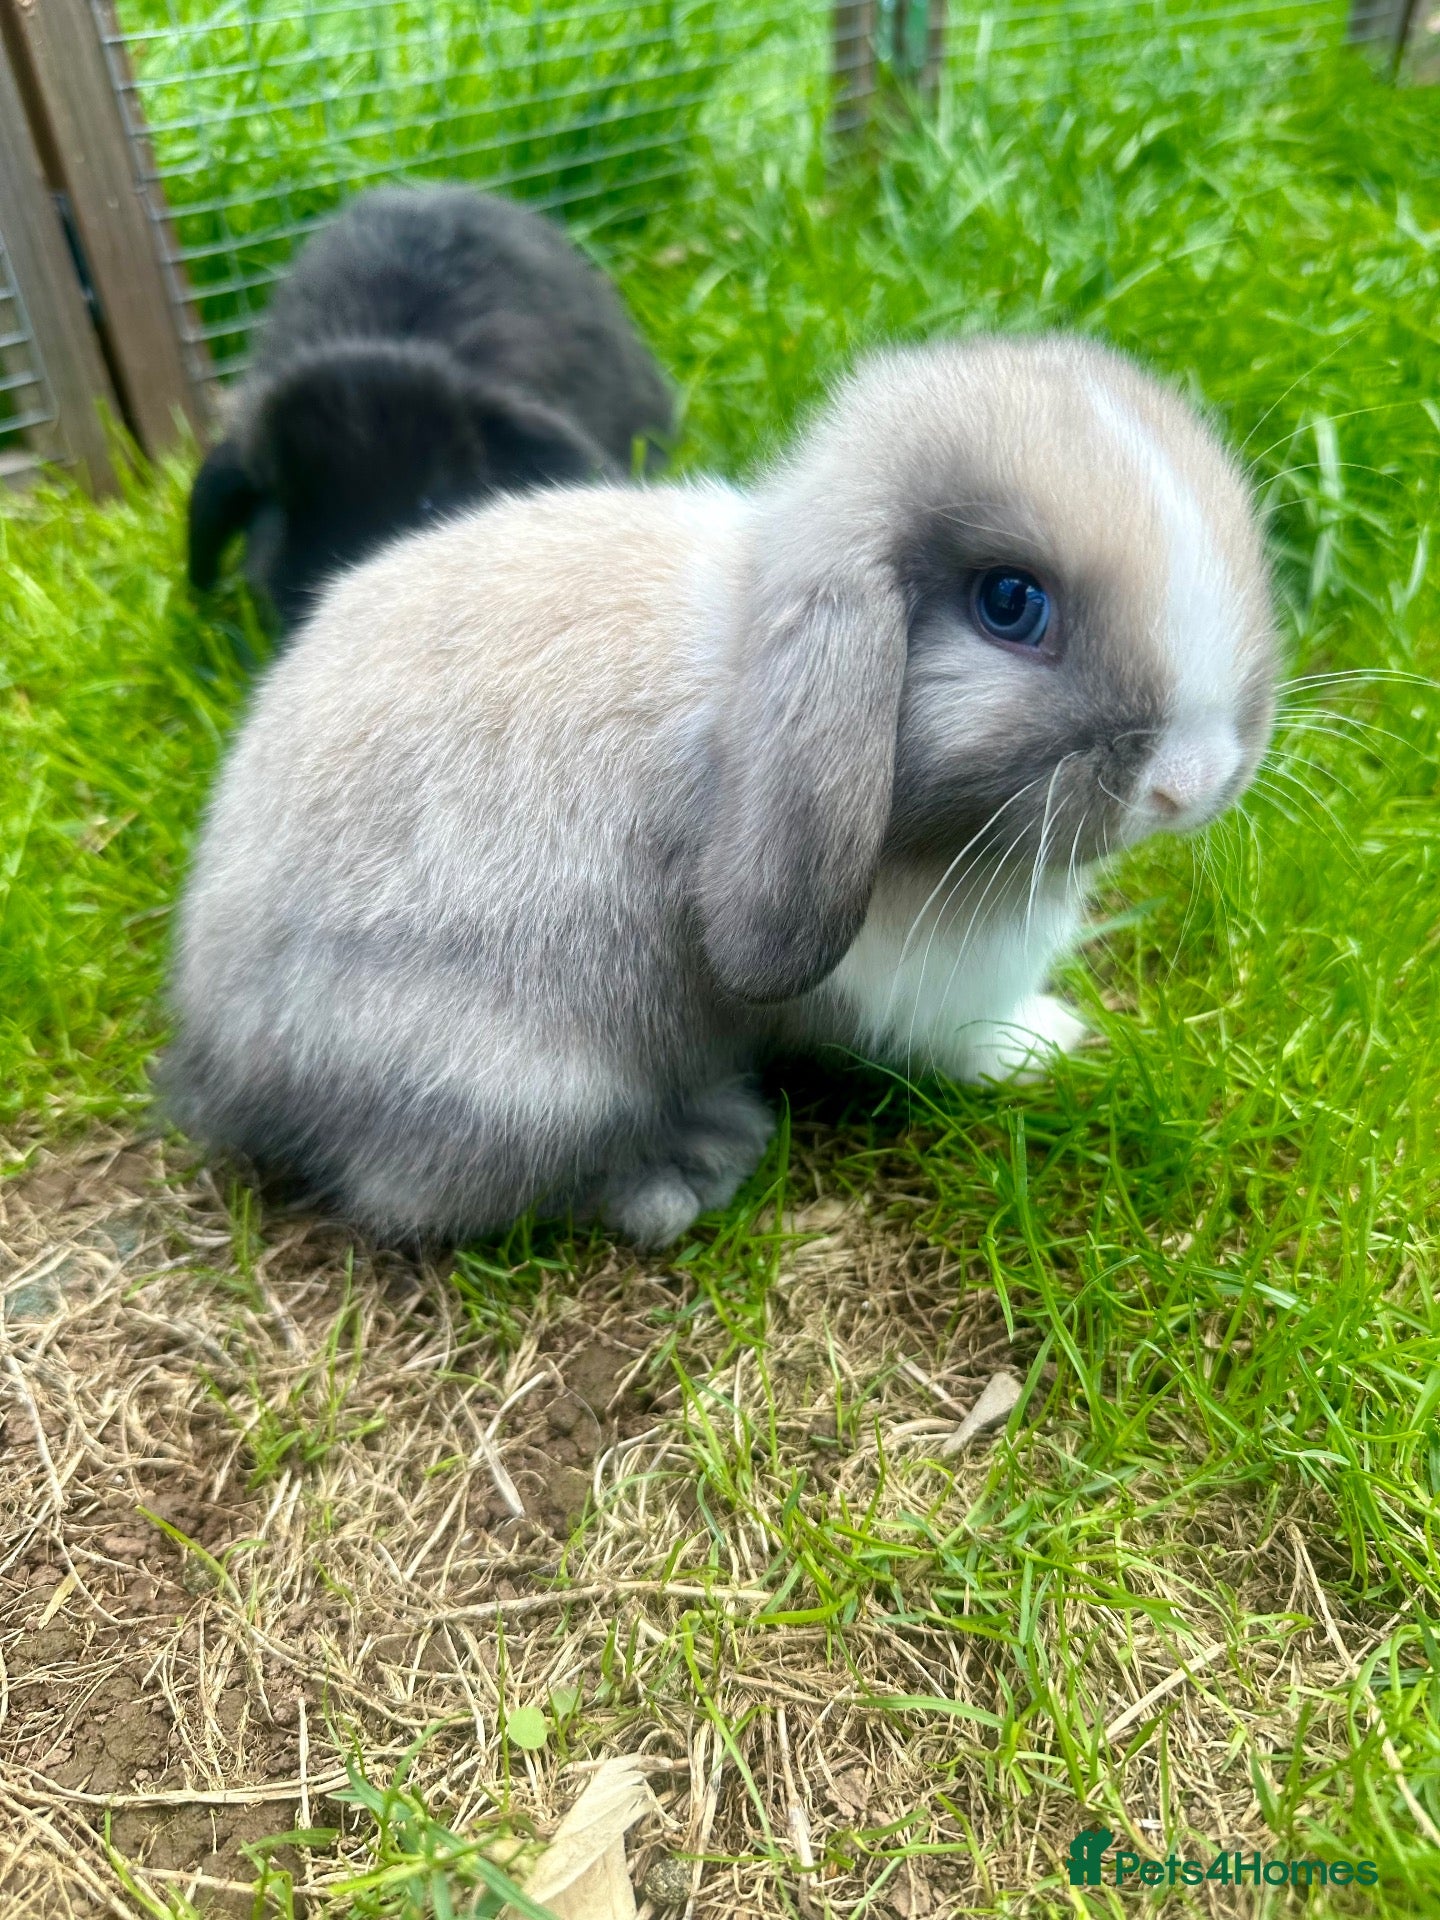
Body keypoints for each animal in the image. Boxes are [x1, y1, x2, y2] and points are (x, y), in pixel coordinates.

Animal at [163, 333, 1277, 1248]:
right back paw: (692, 1161)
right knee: (426, 1195)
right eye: (1010, 603)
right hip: (521, 1079)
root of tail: (225, 1064)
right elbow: (958, 1036)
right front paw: (1042, 1043)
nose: (1191, 781)